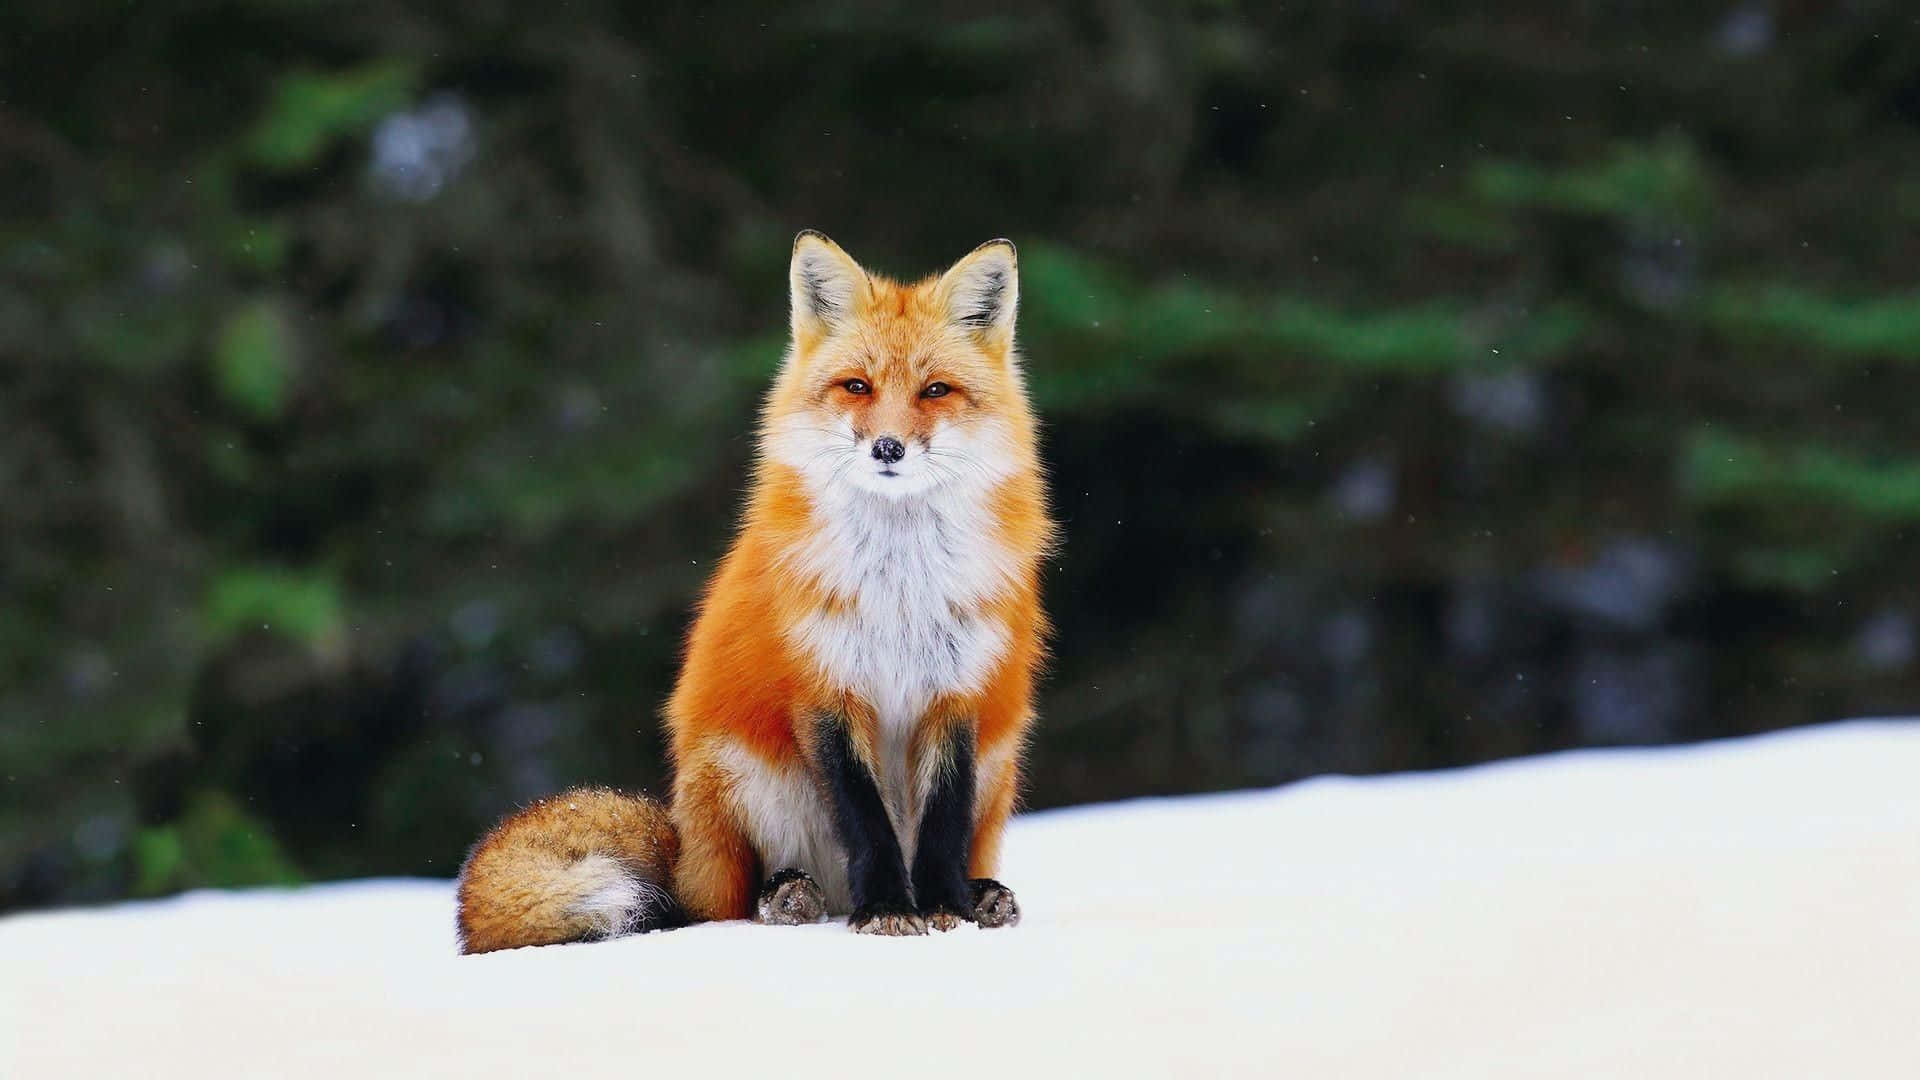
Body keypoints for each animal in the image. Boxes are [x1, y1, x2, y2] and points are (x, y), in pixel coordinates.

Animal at [453, 231, 1052, 945]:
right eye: (857, 386)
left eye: (935, 390)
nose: (887, 448)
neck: (898, 589)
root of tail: (685, 849)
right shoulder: (824, 689)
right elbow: (866, 822)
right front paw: (888, 908)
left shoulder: (957, 692)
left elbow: (942, 824)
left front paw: (944, 910)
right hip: (744, 775)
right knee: (731, 903)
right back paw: (789, 896)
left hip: (999, 760)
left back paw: (985, 895)